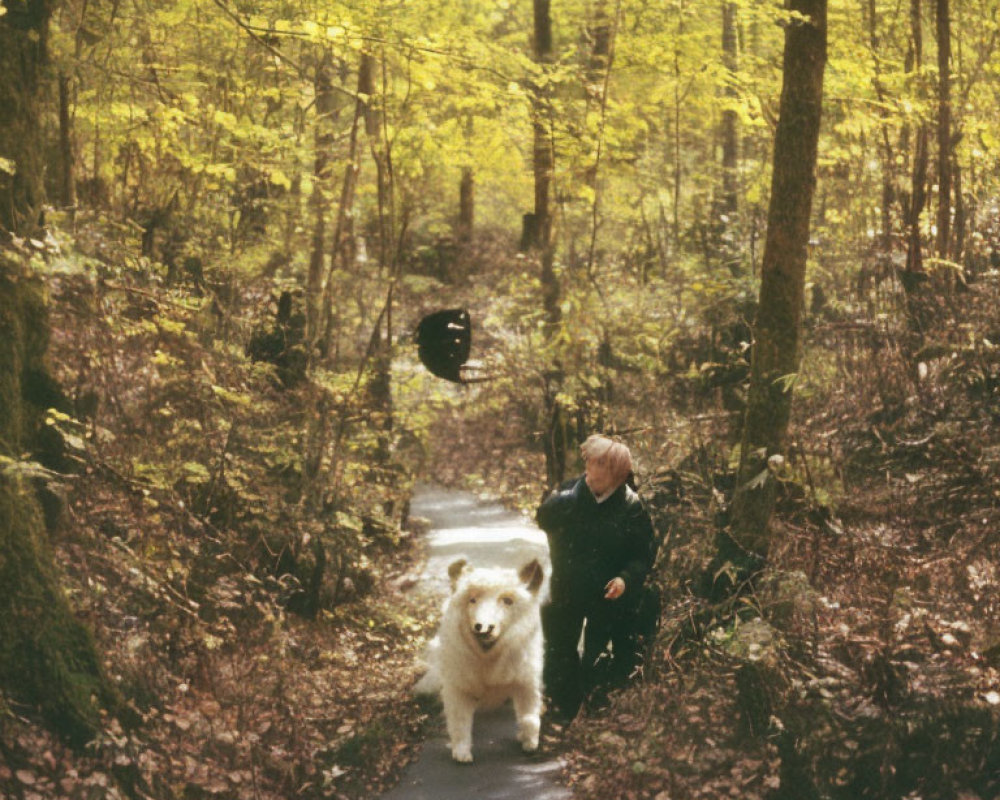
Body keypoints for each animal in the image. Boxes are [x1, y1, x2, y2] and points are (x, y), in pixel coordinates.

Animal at [414, 556, 544, 764]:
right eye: (472, 600)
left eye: (507, 601)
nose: (482, 627)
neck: (487, 659)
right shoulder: (457, 687)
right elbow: (459, 723)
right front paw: (462, 754)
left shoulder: (526, 682)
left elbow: (529, 716)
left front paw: (529, 743)